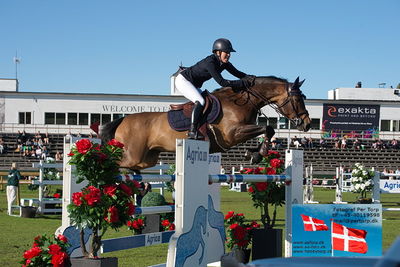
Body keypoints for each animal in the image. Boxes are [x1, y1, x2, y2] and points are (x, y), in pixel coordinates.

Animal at [101, 76, 312, 171]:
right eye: (297, 99)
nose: (307, 124)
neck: (241, 101)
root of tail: (123, 119)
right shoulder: (232, 134)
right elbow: (267, 128)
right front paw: (258, 154)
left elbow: (266, 130)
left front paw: (252, 153)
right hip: (133, 155)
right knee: (113, 163)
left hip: (146, 159)